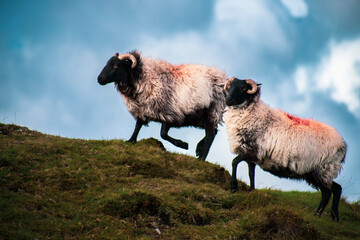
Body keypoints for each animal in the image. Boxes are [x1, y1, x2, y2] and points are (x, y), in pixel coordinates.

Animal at [97, 50, 226, 159]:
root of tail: (222, 78)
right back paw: (199, 149)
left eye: (115, 66)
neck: (141, 77)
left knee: (210, 135)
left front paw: (183, 144)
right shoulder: (142, 110)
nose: (99, 79)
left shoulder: (168, 111)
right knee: (212, 132)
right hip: (201, 117)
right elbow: (138, 126)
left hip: (211, 112)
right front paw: (131, 140)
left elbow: (163, 134)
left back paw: (201, 158)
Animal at [225, 77, 346, 221]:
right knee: (336, 189)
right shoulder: (252, 157)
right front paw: (252, 191)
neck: (253, 113)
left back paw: (316, 215)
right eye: (230, 86)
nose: (228, 100)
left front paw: (233, 187)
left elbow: (234, 162)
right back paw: (335, 217)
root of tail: (343, 146)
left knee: (327, 193)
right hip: (316, 172)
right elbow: (251, 173)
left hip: (323, 170)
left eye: (243, 88)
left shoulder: (252, 152)